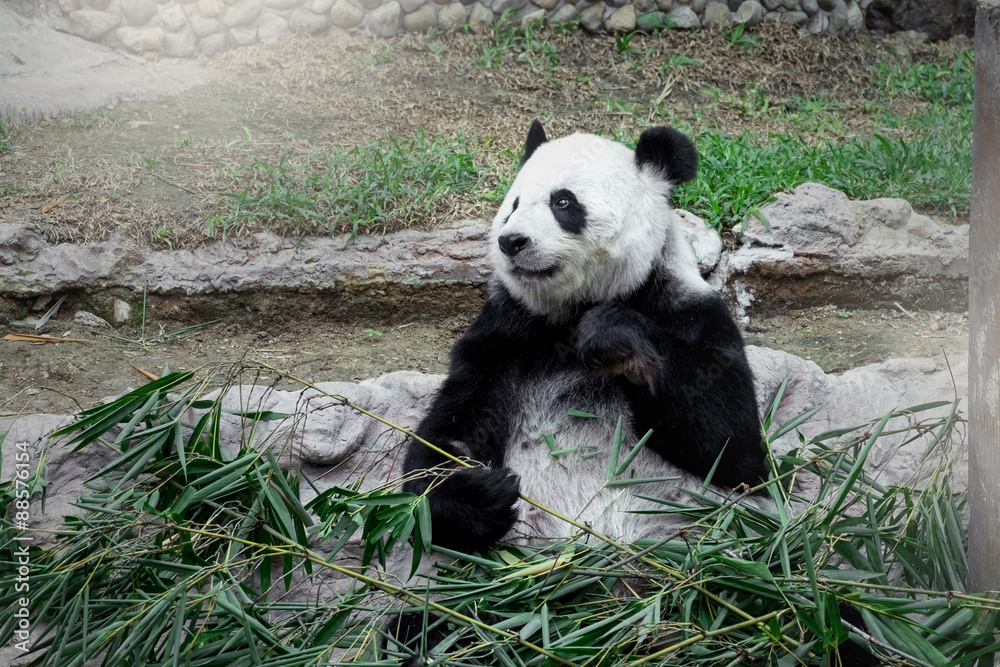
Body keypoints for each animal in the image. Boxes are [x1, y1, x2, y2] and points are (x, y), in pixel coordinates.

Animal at [400, 120, 766, 555]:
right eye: (513, 206)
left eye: (563, 202)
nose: (511, 241)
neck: (570, 312)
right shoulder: (506, 332)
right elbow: (450, 429)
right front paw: (476, 492)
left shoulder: (692, 312)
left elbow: (734, 446)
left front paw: (611, 336)